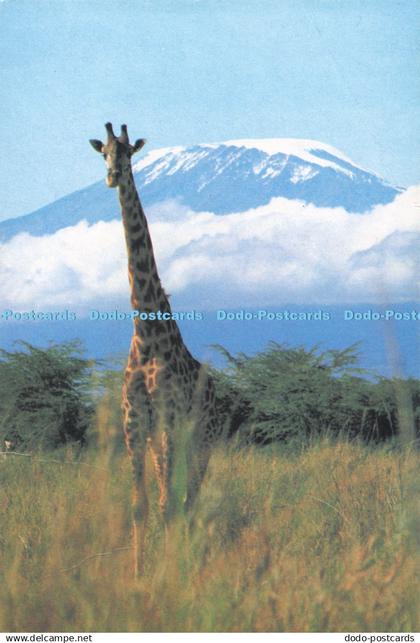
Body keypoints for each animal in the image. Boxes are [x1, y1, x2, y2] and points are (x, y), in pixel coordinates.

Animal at [90, 123, 221, 576]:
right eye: (103, 153)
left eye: (130, 152)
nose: (112, 176)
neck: (146, 332)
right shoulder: (135, 422)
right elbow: (140, 506)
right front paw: (137, 574)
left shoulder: (168, 417)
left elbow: (167, 503)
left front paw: (166, 570)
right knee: (178, 495)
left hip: (200, 439)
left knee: (190, 496)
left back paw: (190, 555)